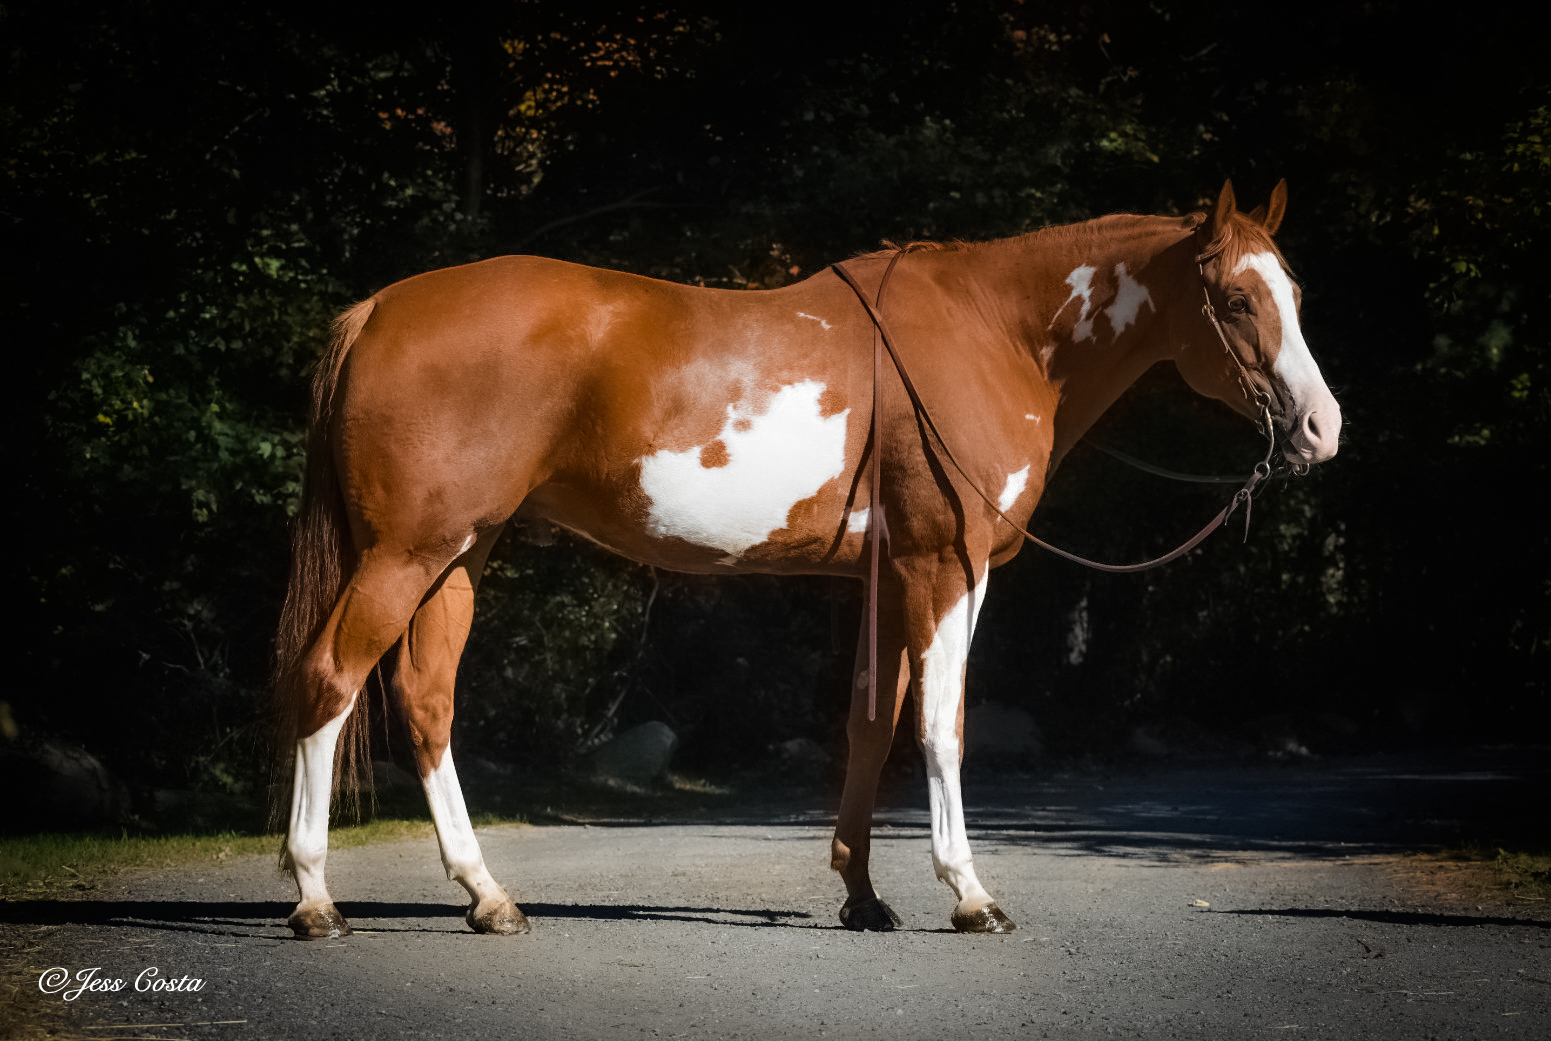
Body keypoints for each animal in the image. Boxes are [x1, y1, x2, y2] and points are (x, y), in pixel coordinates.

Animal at [274, 179, 1341, 939]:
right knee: (329, 680)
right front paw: (968, 892)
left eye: (1294, 291)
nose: (1322, 429)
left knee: (424, 703)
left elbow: (870, 727)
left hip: (457, 554)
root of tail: (377, 308)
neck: (992, 331)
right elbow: (942, 728)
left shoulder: (887, 577)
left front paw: (862, 894)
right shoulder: (947, 567)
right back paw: (315, 897)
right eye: (1234, 298)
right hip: (405, 553)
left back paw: (487, 895)